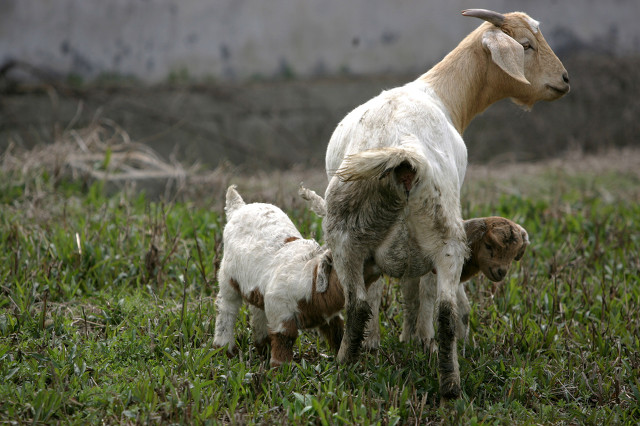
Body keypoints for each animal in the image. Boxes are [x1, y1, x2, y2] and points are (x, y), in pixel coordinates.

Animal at [322, 8, 568, 402]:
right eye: (526, 45)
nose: (564, 80)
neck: (443, 94)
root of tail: (403, 154)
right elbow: (416, 290)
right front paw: (417, 340)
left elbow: (394, 290)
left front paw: (392, 342)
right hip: (443, 229)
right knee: (442, 308)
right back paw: (446, 381)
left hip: (345, 233)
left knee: (361, 303)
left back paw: (350, 364)